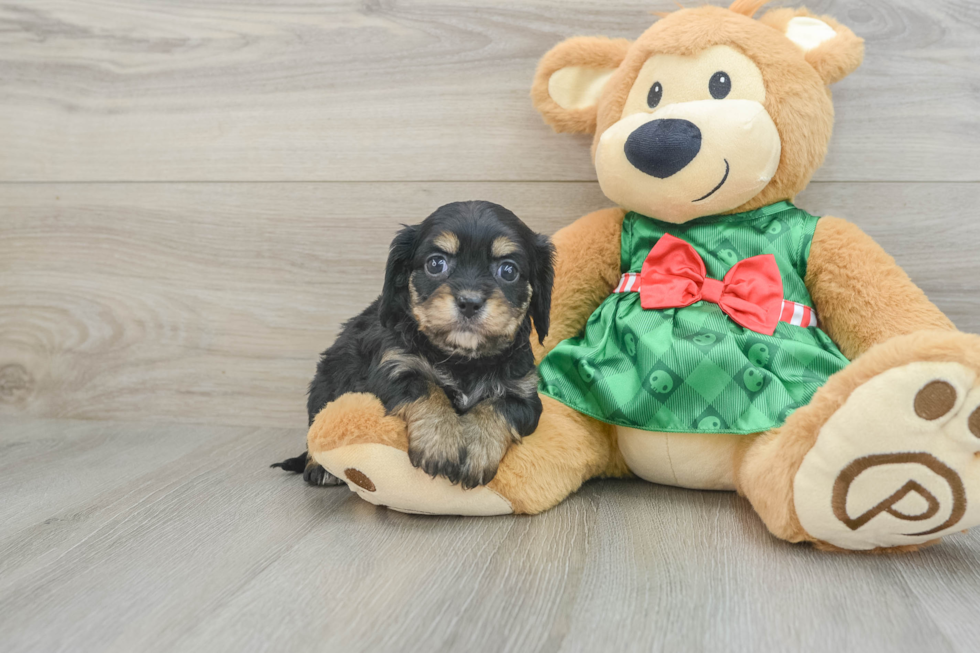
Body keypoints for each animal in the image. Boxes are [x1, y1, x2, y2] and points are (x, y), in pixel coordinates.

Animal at [272, 201, 556, 486]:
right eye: (436, 264)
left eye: (509, 270)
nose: (469, 302)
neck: (462, 359)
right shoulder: (393, 367)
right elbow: (428, 388)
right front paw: (440, 443)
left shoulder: (524, 394)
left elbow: (498, 407)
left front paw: (478, 448)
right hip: (323, 389)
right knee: (316, 430)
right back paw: (320, 468)